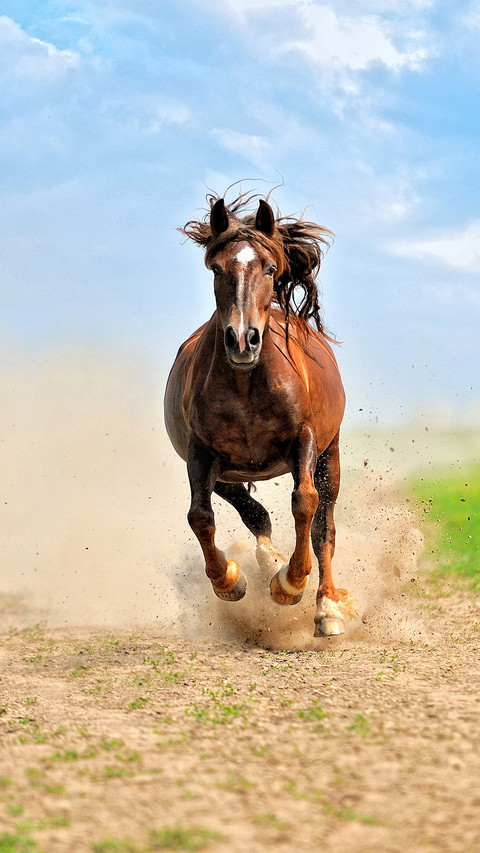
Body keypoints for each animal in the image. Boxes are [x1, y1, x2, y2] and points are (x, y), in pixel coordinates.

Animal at [164, 191, 355, 637]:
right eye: (216, 268)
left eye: (269, 267)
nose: (242, 339)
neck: (246, 384)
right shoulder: (201, 454)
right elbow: (200, 517)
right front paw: (229, 581)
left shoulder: (304, 441)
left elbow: (305, 503)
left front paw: (290, 585)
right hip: (228, 474)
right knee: (255, 515)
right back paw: (270, 560)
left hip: (330, 455)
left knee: (324, 528)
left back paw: (326, 608)